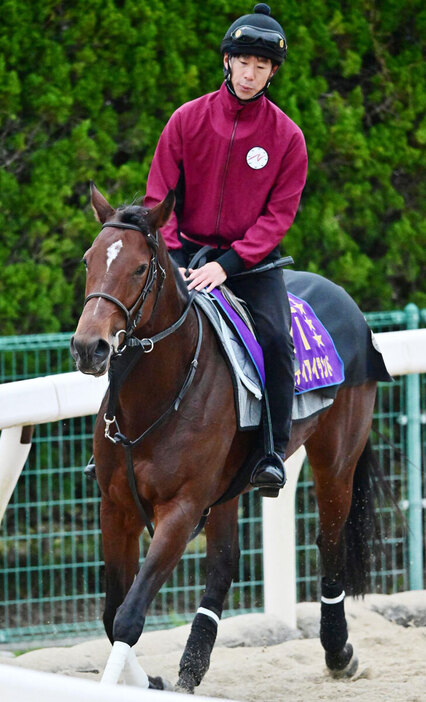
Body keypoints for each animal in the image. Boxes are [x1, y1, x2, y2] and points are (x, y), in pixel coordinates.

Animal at [71, 184, 392, 696]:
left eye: (140, 267)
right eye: (89, 260)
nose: (89, 347)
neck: (156, 399)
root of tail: (347, 302)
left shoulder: (181, 510)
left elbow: (128, 616)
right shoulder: (116, 506)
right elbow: (110, 613)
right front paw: (153, 681)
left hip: (337, 460)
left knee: (329, 542)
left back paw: (339, 651)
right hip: (226, 489)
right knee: (224, 562)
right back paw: (192, 667)